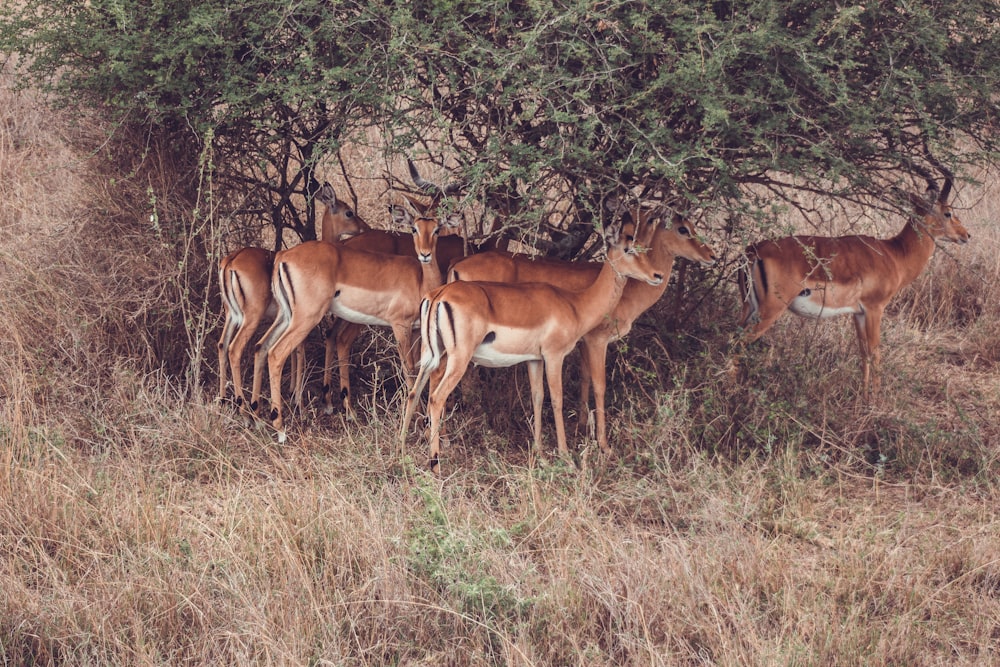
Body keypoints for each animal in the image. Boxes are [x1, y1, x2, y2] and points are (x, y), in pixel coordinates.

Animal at [217, 183, 366, 412]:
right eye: (349, 212)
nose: (363, 227)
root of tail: (231, 261)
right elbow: (299, 351)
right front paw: (298, 399)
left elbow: (296, 351)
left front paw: (293, 393)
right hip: (251, 318)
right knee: (236, 349)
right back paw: (243, 406)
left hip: (232, 316)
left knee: (223, 345)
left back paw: (225, 400)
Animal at [256, 204, 462, 444]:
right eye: (414, 228)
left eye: (437, 229)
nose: (425, 254)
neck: (421, 281)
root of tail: (283, 255)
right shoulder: (400, 326)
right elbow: (409, 370)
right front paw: (419, 425)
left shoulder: (418, 331)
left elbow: (424, 372)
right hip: (306, 317)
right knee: (276, 353)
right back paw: (281, 429)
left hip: (286, 315)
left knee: (261, 346)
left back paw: (258, 417)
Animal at [398, 222, 664, 472]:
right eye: (629, 249)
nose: (657, 274)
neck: (574, 305)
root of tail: (438, 296)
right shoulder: (555, 356)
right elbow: (556, 399)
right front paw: (566, 456)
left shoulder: (534, 359)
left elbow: (537, 397)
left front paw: (540, 452)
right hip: (458, 359)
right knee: (435, 397)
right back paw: (435, 463)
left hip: (431, 354)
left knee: (414, 391)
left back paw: (400, 446)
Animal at [736, 175, 968, 400]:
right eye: (948, 212)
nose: (966, 235)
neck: (894, 255)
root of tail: (753, 250)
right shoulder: (875, 308)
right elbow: (875, 352)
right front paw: (876, 401)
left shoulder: (858, 312)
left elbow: (863, 352)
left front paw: (863, 398)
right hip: (770, 310)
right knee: (739, 343)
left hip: (749, 308)